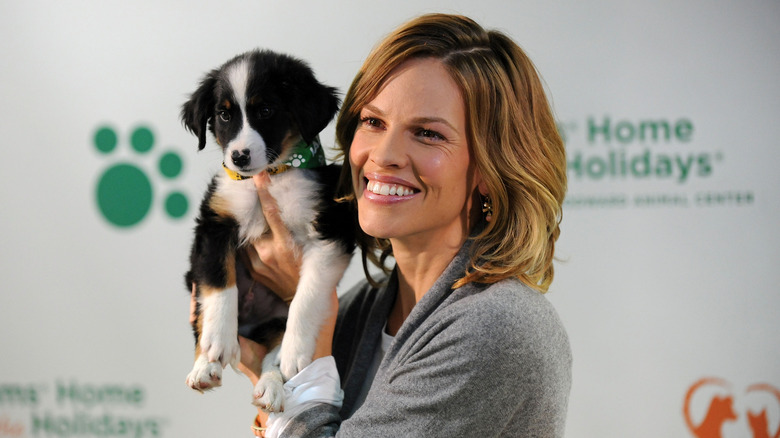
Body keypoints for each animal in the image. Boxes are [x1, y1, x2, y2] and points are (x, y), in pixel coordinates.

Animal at [181, 49, 354, 412]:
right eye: (223, 115)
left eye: (265, 111)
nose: (239, 157)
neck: (272, 175)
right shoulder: (215, 223)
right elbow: (219, 284)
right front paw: (217, 342)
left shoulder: (331, 233)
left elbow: (307, 296)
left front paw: (295, 353)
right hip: (193, 281)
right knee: (200, 316)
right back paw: (204, 368)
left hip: (274, 320)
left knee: (271, 353)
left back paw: (272, 387)